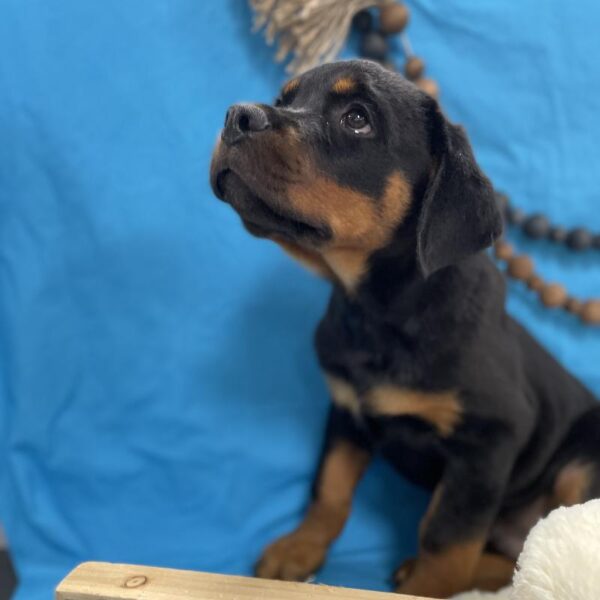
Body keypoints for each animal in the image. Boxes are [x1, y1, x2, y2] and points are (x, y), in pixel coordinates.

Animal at [209, 59, 596, 596]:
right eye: (285, 99)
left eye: (357, 118)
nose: (237, 116)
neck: (378, 309)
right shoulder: (347, 408)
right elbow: (329, 489)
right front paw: (298, 550)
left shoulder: (488, 441)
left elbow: (447, 537)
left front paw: (425, 587)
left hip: (583, 464)